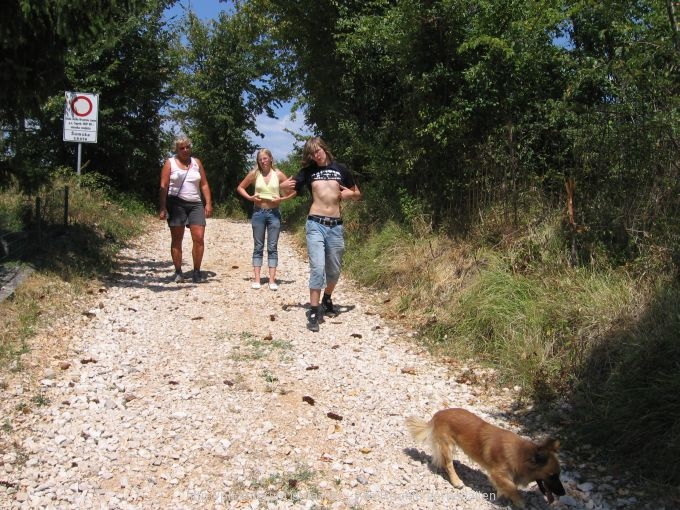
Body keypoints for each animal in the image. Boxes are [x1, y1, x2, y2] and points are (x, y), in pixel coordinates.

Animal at [406, 406, 564, 506]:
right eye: (552, 476)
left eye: (558, 475)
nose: (563, 493)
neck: (521, 455)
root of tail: (438, 414)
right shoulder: (497, 473)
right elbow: (512, 487)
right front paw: (519, 502)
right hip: (447, 446)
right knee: (448, 464)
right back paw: (456, 481)